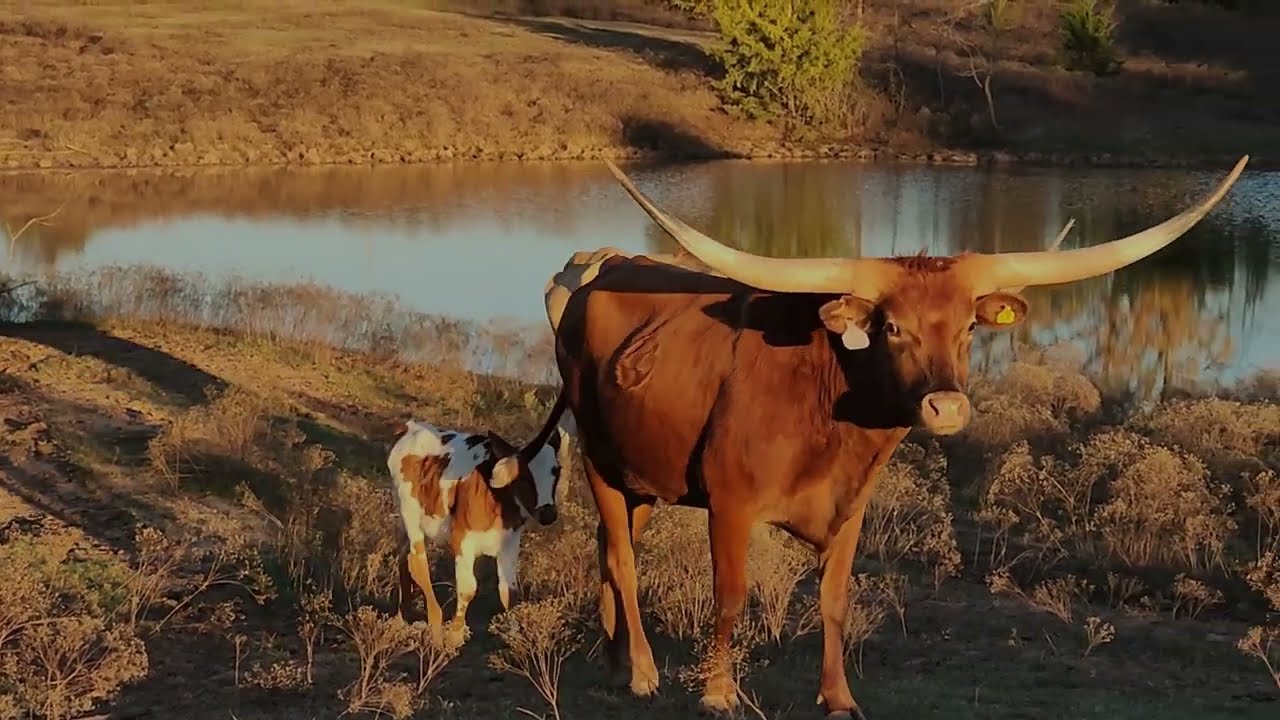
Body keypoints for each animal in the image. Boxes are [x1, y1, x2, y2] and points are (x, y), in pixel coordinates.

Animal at [388, 391, 574, 644]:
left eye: (557, 470)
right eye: (522, 474)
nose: (548, 513)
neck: (499, 499)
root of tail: (410, 426)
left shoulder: (509, 542)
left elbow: (509, 591)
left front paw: (515, 633)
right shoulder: (462, 540)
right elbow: (468, 587)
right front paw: (455, 635)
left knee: (402, 558)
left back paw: (403, 615)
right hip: (410, 514)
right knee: (417, 562)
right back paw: (435, 625)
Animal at [542, 156, 1248, 718]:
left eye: (969, 327)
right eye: (892, 328)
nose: (947, 406)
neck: (827, 411)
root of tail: (601, 270)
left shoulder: (850, 509)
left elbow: (833, 600)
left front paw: (838, 698)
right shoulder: (730, 506)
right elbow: (730, 597)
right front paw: (718, 693)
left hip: (640, 478)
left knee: (609, 551)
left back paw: (615, 661)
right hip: (601, 464)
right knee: (623, 560)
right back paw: (641, 671)